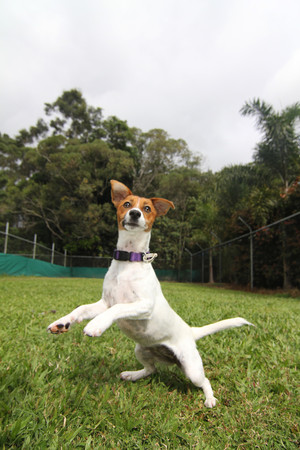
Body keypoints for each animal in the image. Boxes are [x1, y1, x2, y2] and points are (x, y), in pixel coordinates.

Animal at [47, 179, 253, 408]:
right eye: (127, 204)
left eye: (147, 209)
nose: (135, 213)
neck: (129, 260)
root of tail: (190, 331)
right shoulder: (105, 303)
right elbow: (81, 309)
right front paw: (62, 323)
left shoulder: (143, 305)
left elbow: (119, 308)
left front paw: (96, 325)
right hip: (141, 349)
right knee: (151, 369)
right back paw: (132, 375)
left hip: (192, 368)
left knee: (205, 380)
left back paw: (210, 399)